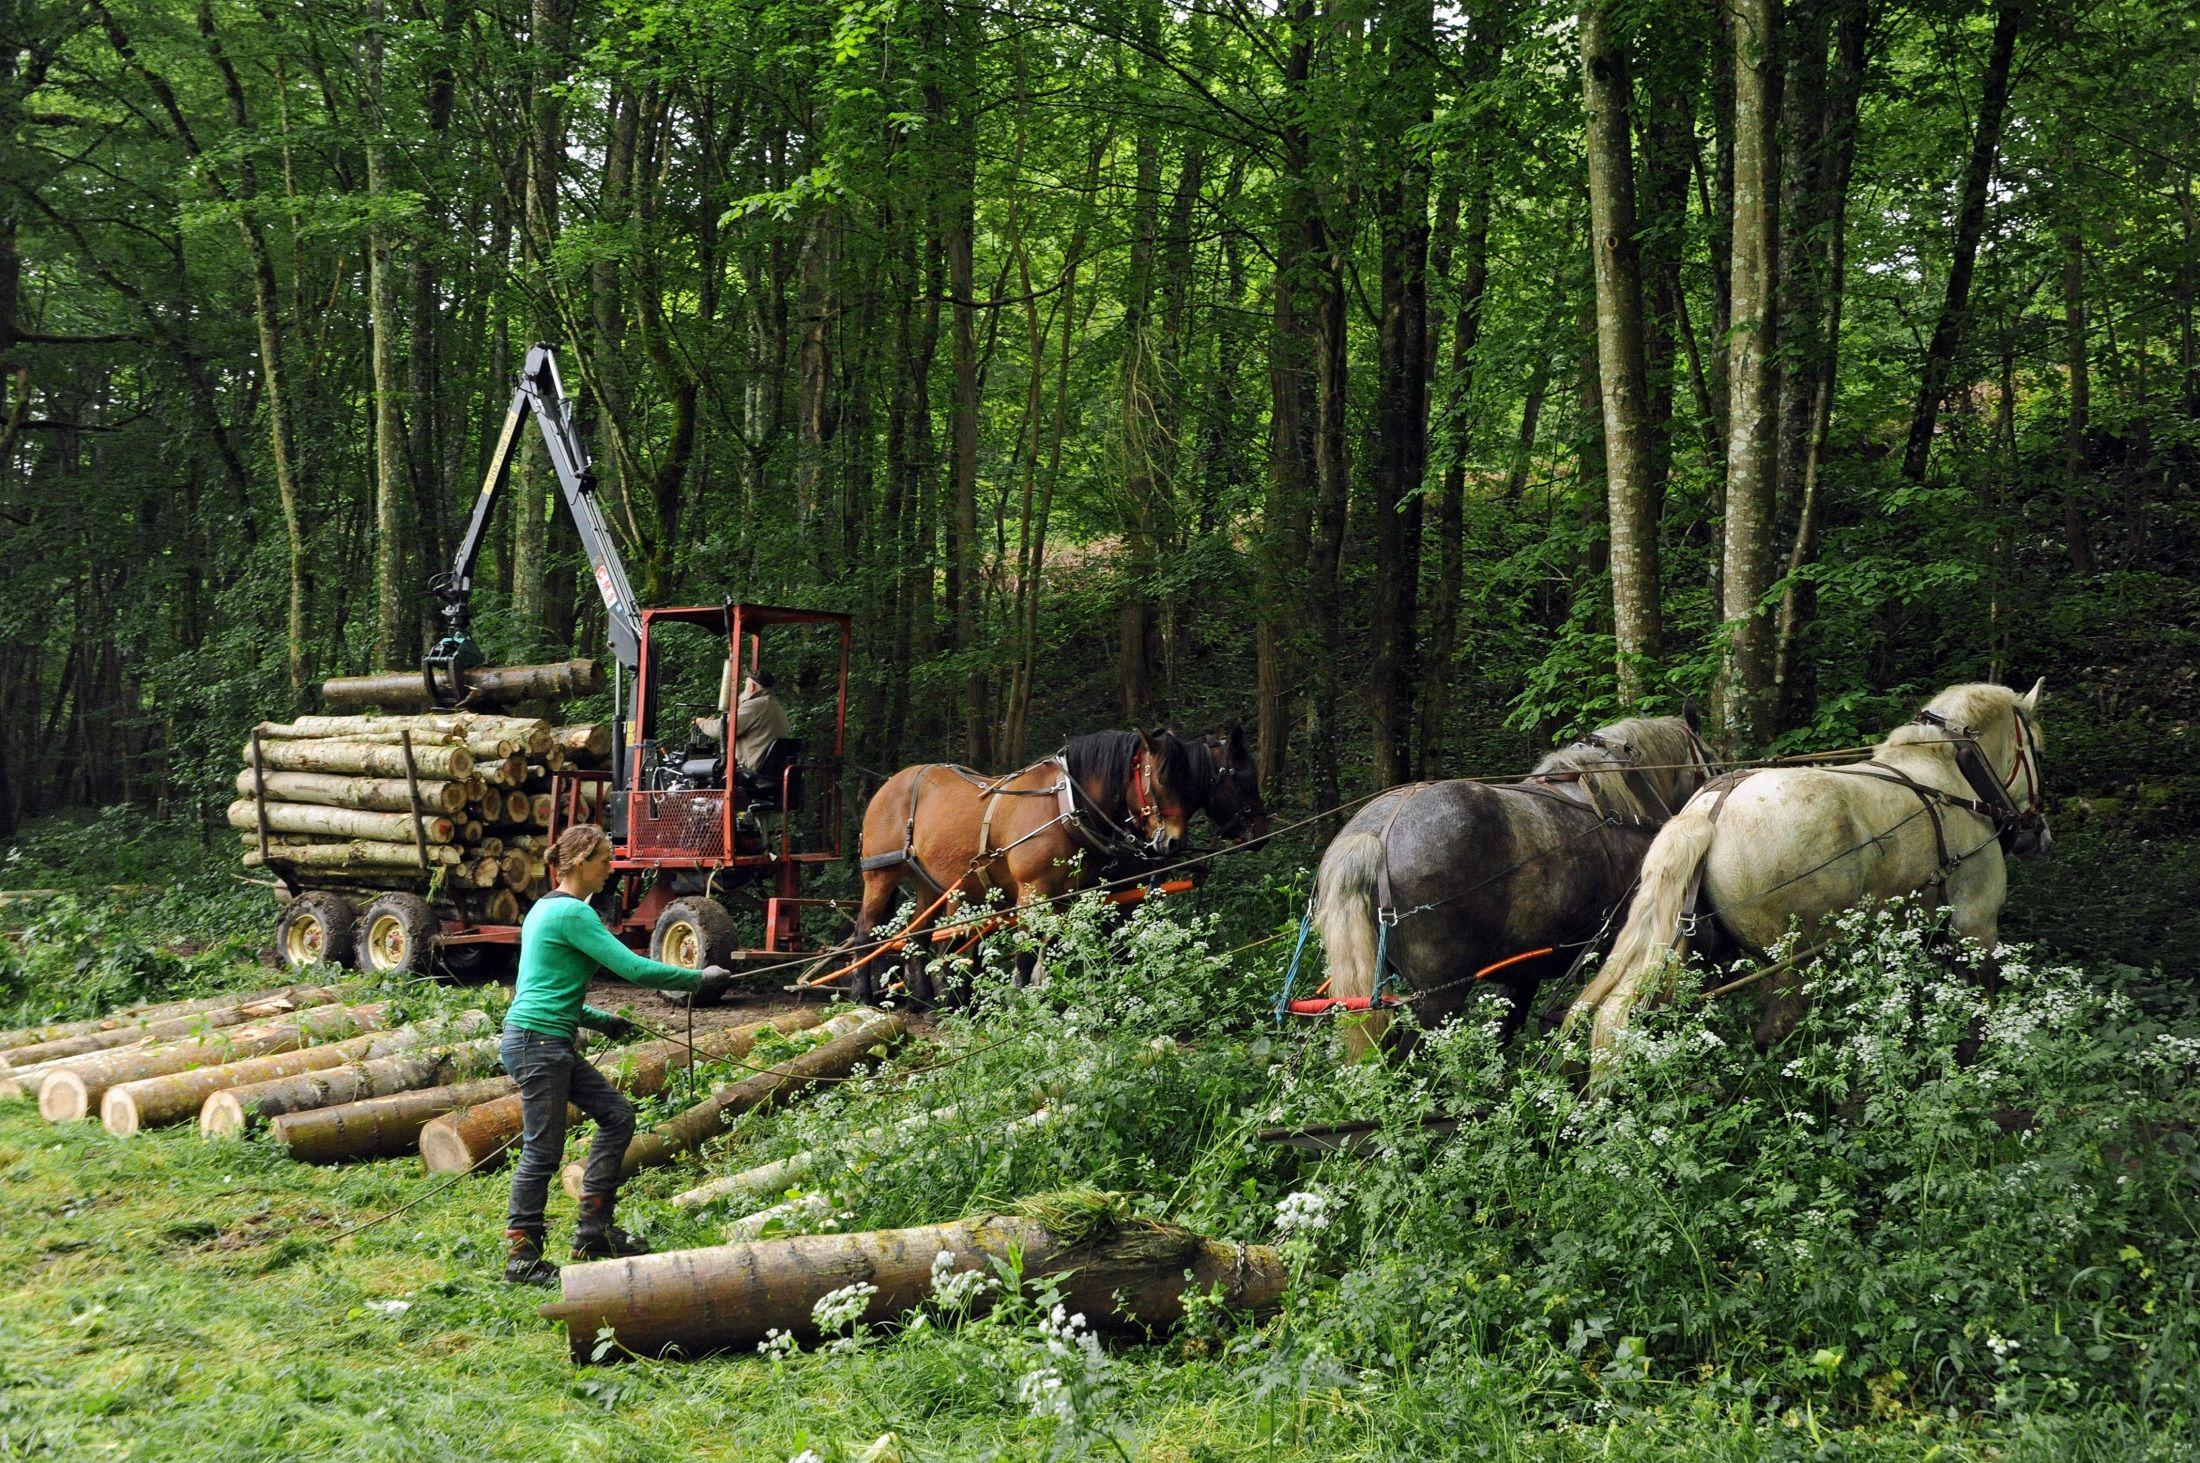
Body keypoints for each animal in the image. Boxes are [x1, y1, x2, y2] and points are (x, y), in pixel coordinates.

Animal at [836, 730, 1205, 994]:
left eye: (1187, 781)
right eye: (1162, 779)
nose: (1174, 842)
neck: (1062, 806)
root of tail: (890, 783)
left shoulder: (1064, 894)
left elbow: (1049, 946)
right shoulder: (1032, 890)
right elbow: (1026, 952)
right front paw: (1019, 999)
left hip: (929, 882)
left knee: (918, 936)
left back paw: (923, 1002)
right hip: (881, 873)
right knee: (865, 930)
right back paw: (862, 995)